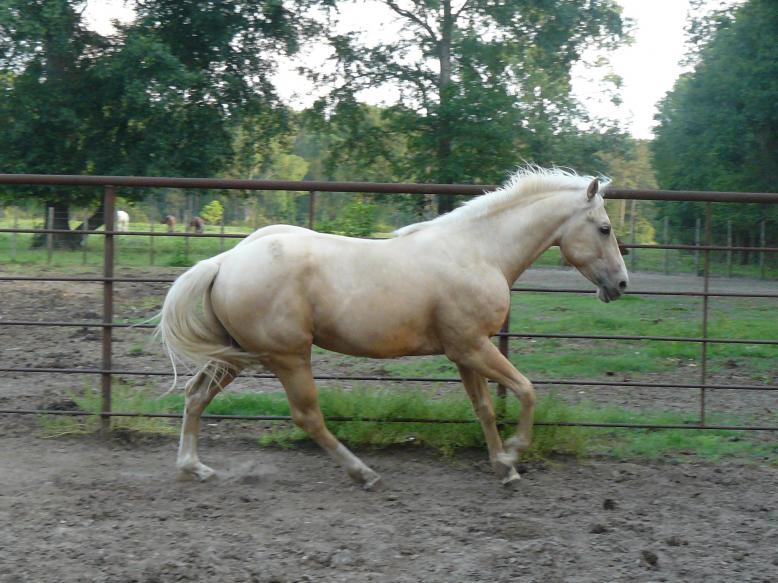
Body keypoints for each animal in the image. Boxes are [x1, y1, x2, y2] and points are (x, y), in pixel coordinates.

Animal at [156, 167, 624, 490]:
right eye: (605, 228)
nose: (620, 285)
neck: (479, 251)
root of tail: (224, 261)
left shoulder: (465, 353)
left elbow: (485, 409)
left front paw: (502, 468)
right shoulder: (473, 347)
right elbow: (527, 391)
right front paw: (514, 454)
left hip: (237, 354)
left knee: (195, 395)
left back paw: (194, 467)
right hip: (288, 356)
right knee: (307, 416)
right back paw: (364, 474)